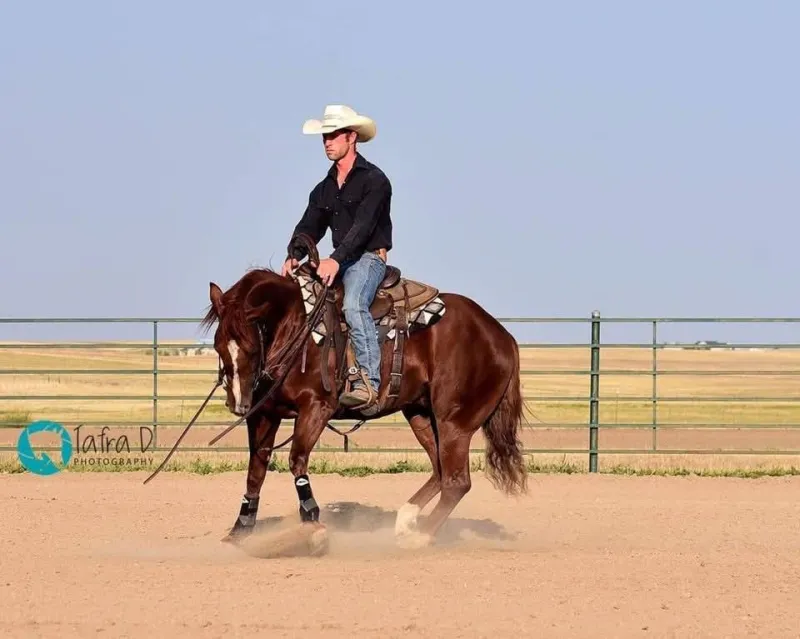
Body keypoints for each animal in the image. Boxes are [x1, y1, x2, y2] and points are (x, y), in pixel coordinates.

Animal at [194, 237, 528, 549]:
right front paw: (239, 531)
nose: (239, 404)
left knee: (457, 481)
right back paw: (406, 522)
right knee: (440, 470)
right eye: (219, 346)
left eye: (251, 347)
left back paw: (420, 537)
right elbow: (256, 469)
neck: (296, 327)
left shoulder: (316, 408)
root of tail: (501, 335)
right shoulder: (263, 413)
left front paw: (312, 523)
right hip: (420, 414)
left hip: (454, 422)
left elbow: (297, 460)